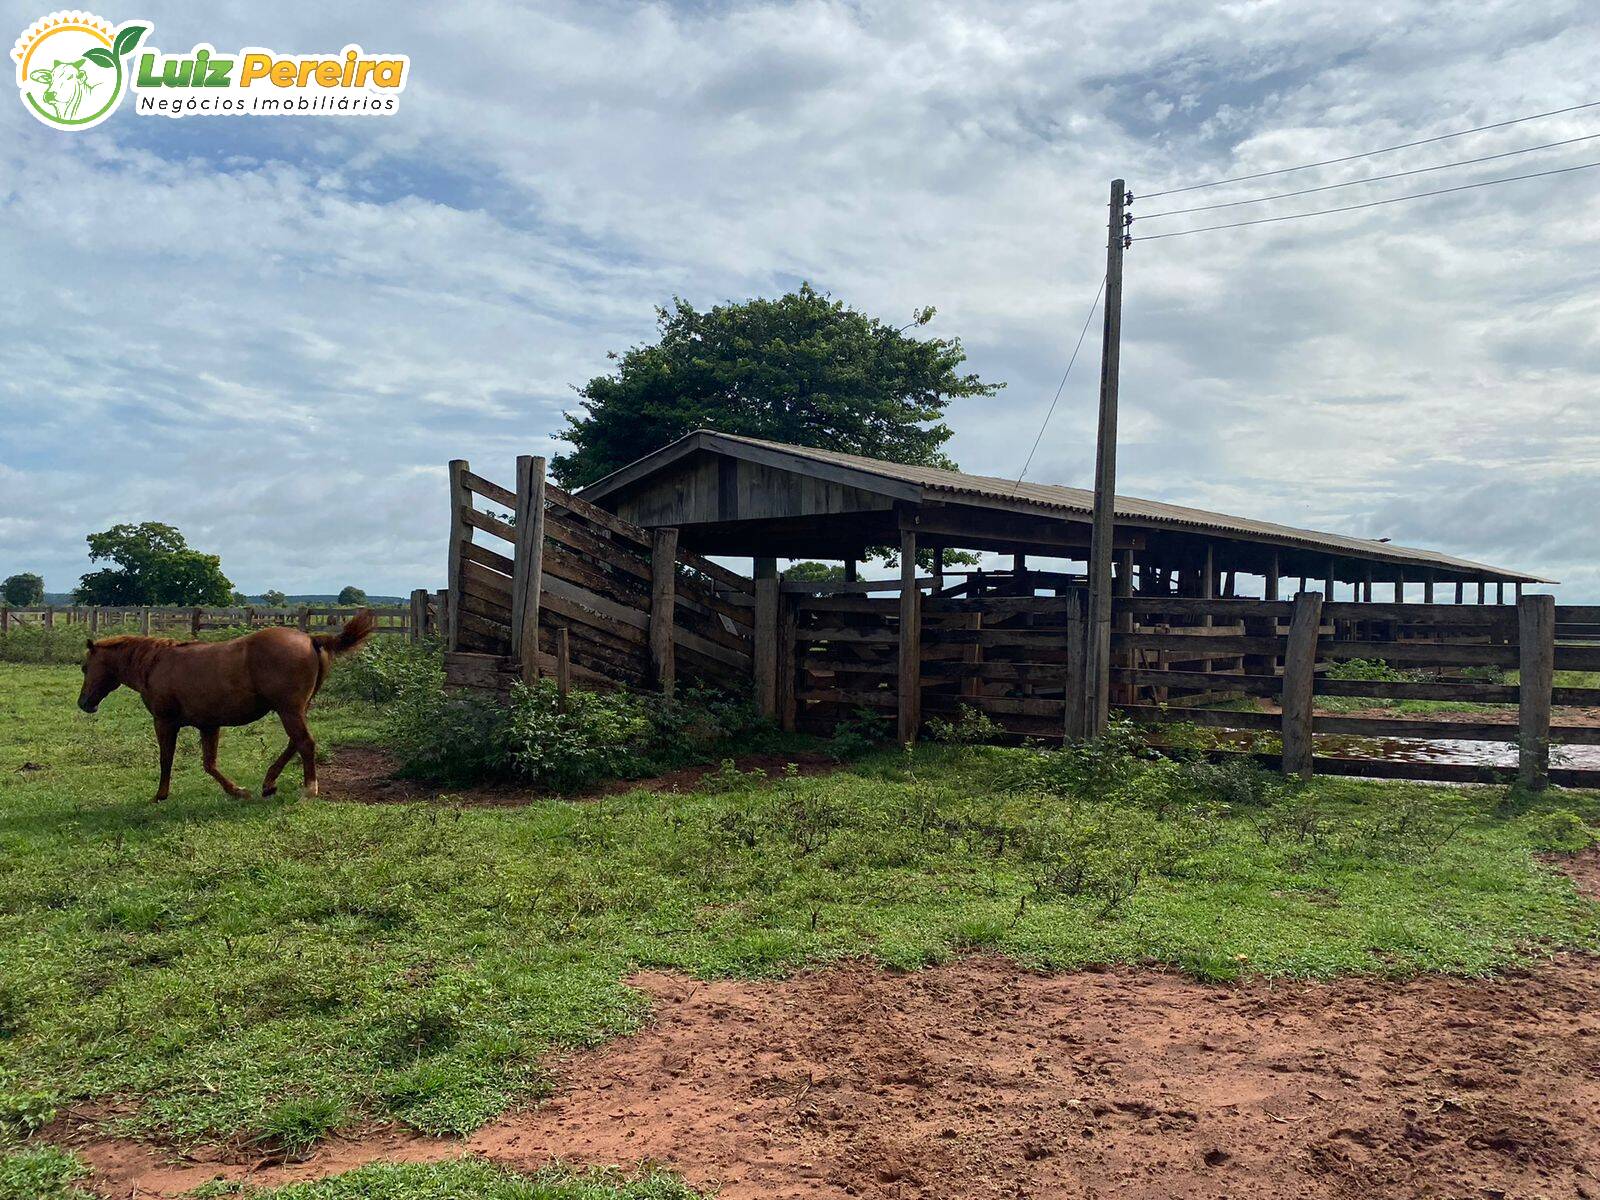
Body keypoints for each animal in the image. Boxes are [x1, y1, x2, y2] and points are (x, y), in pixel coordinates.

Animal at [80, 614, 374, 803]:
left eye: (84, 668)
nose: (84, 703)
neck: (155, 663)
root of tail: (311, 638)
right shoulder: (209, 724)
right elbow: (209, 764)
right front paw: (239, 791)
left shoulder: (164, 721)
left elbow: (167, 759)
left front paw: (160, 795)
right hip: (297, 708)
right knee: (296, 743)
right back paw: (268, 784)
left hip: (289, 710)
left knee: (305, 743)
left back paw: (308, 790)